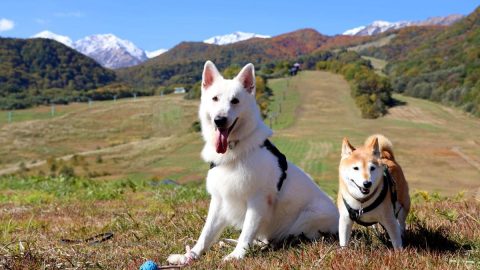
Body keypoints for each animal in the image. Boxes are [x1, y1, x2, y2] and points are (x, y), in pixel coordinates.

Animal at [167, 61, 340, 264]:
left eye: (235, 101)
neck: (235, 150)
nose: (219, 120)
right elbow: (206, 233)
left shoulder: (256, 201)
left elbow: (247, 232)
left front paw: (237, 256)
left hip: (309, 217)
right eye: (215, 99)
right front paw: (190, 255)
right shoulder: (219, 201)